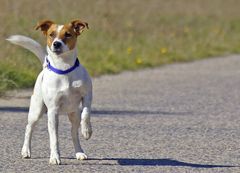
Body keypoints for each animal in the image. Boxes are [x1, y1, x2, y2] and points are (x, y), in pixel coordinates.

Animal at [6, 19, 93, 164]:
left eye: (68, 34)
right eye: (51, 34)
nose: (56, 44)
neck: (64, 69)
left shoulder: (87, 96)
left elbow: (86, 114)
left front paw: (86, 131)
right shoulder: (53, 111)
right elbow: (54, 138)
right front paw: (55, 157)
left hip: (74, 114)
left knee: (74, 133)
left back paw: (79, 152)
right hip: (36, 111)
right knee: (29, 128)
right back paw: (26, 151)